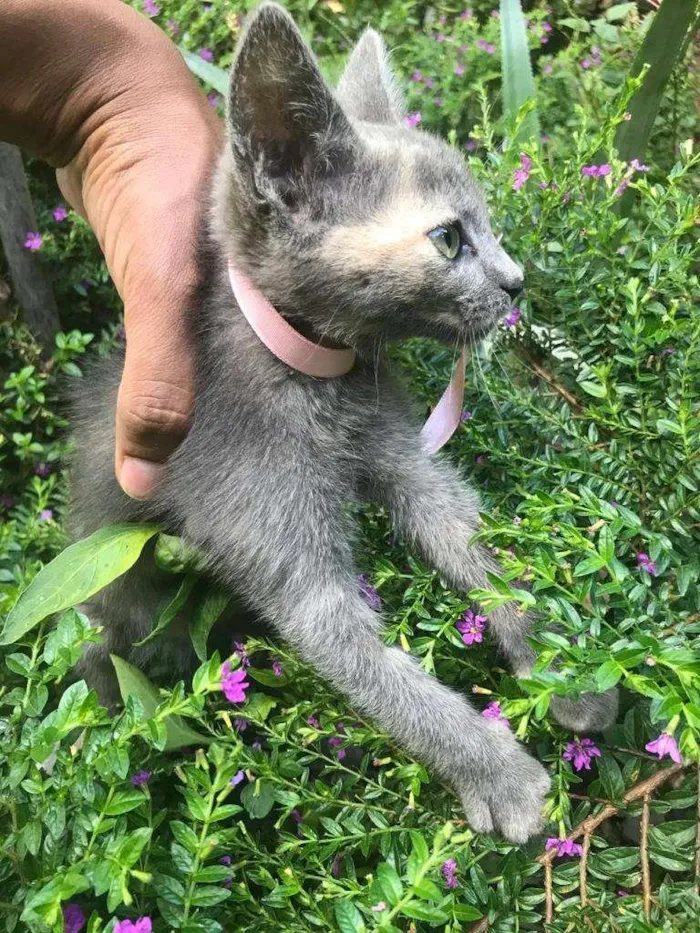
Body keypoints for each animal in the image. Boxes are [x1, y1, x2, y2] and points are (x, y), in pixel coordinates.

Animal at [68, 1, 616, 844]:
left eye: (489, 227)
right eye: (450, 238)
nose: (517, 281)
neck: (322, 385)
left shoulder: (407, 457)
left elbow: (476, 542)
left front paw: (564, 665)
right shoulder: (295, 568)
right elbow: (386, 679)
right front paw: (500, 773)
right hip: (122, 591)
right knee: (119, 650)